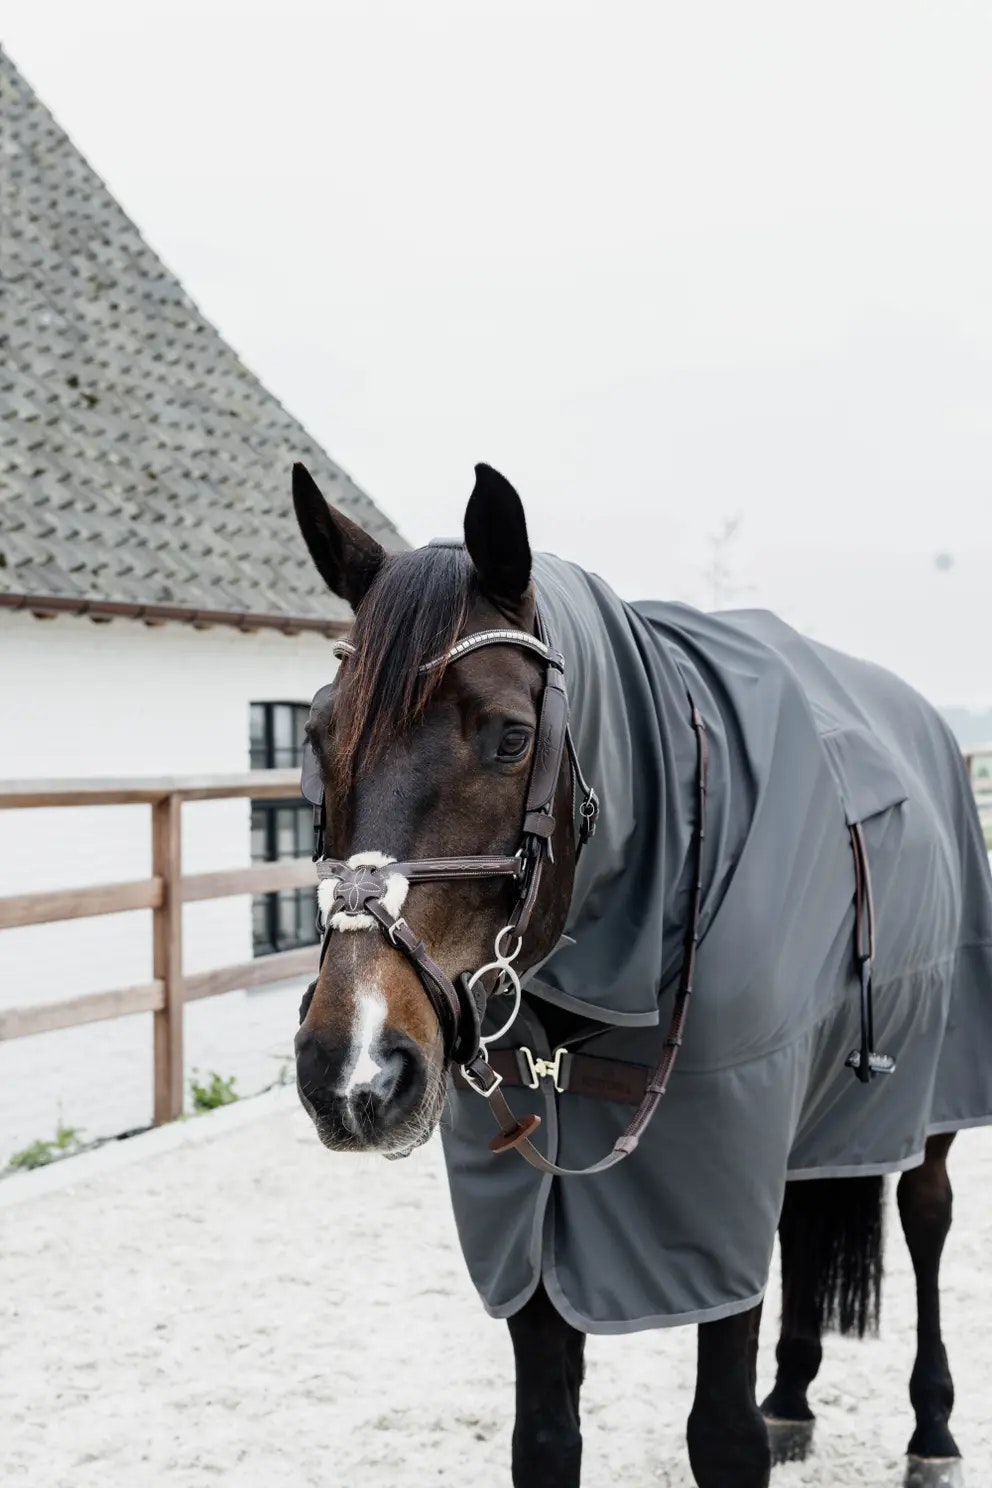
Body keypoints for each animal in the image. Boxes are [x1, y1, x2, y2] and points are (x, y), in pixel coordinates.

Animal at [288, 461, 987, 1488]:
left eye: (510, 737)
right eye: (315, 737)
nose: (354, 1068)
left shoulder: (711, 1190)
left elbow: (723, 1438)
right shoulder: (535, 1231)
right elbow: (544, 1439)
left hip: (930, 1093)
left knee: (927, 1216)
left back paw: (932, 1430)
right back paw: (793, 1396)